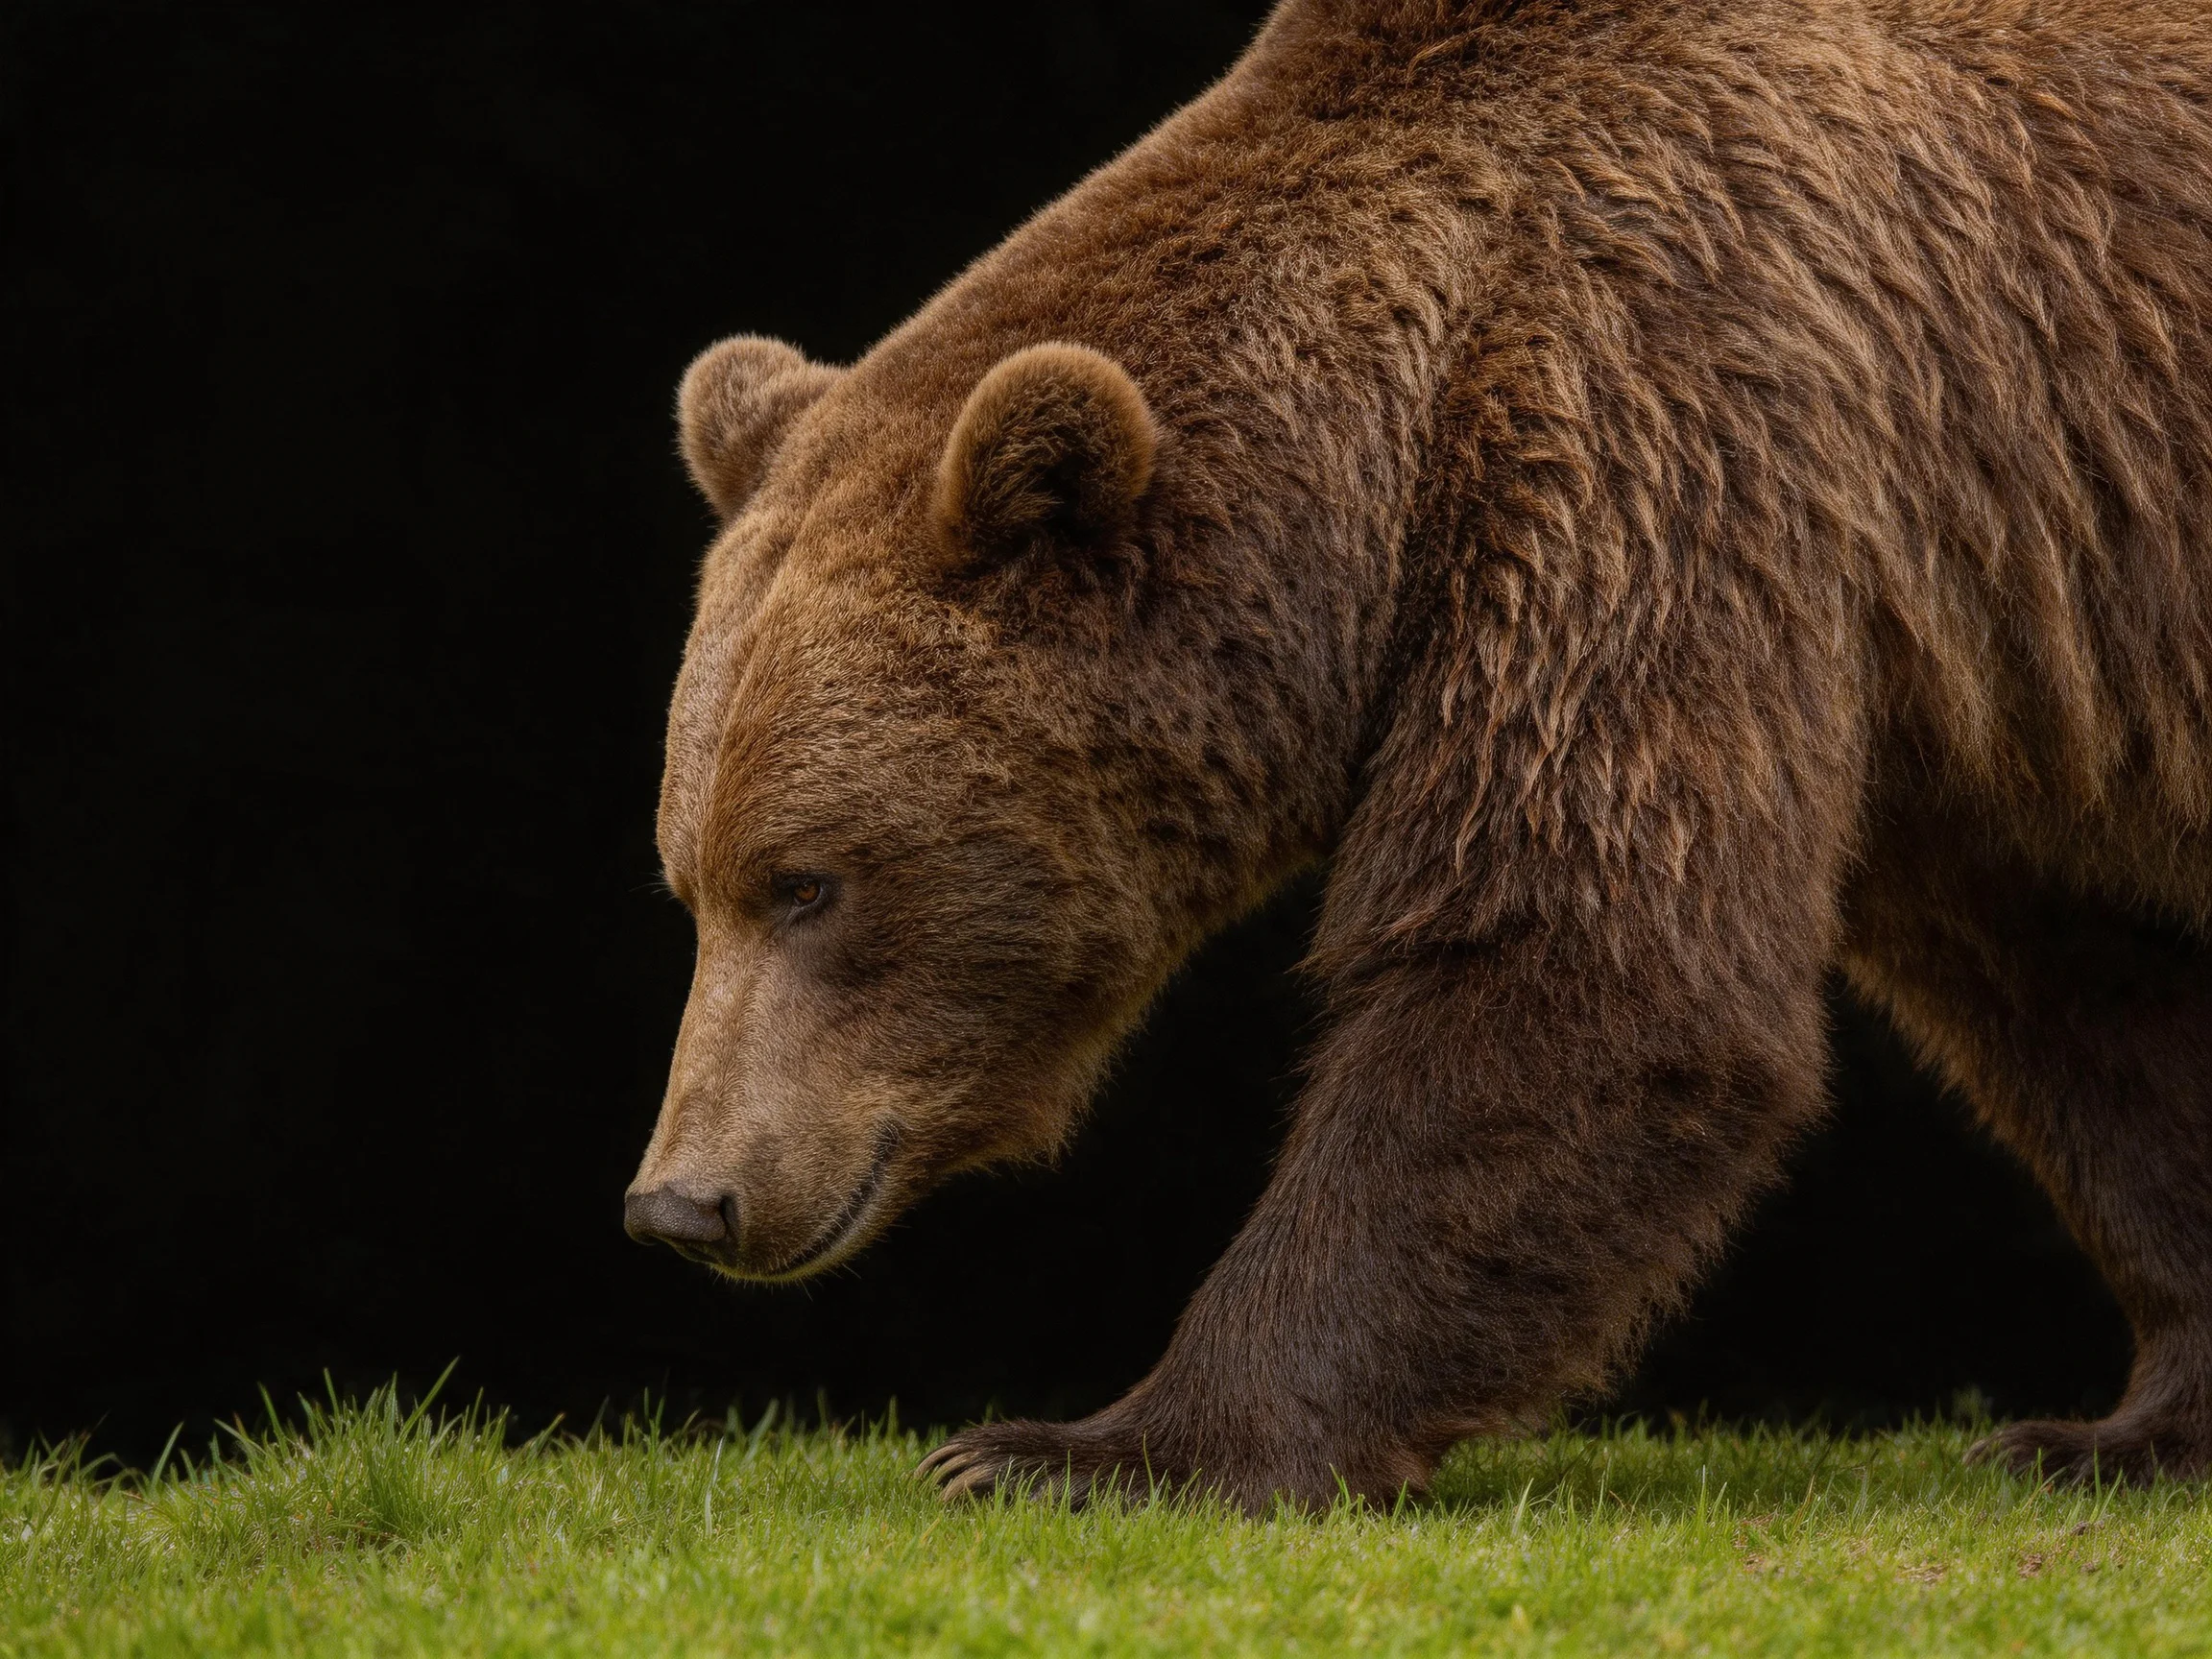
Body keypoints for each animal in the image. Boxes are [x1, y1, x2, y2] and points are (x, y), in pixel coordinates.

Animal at [624, 0, 2212, 1511]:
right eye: (690, 887)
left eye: (808, 884)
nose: (684, 1202)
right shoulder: (1961, 659)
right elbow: (2083, 996)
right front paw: (2127, 1425)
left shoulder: (1665, 427)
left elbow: (1576, 962)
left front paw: (1083, 1447)